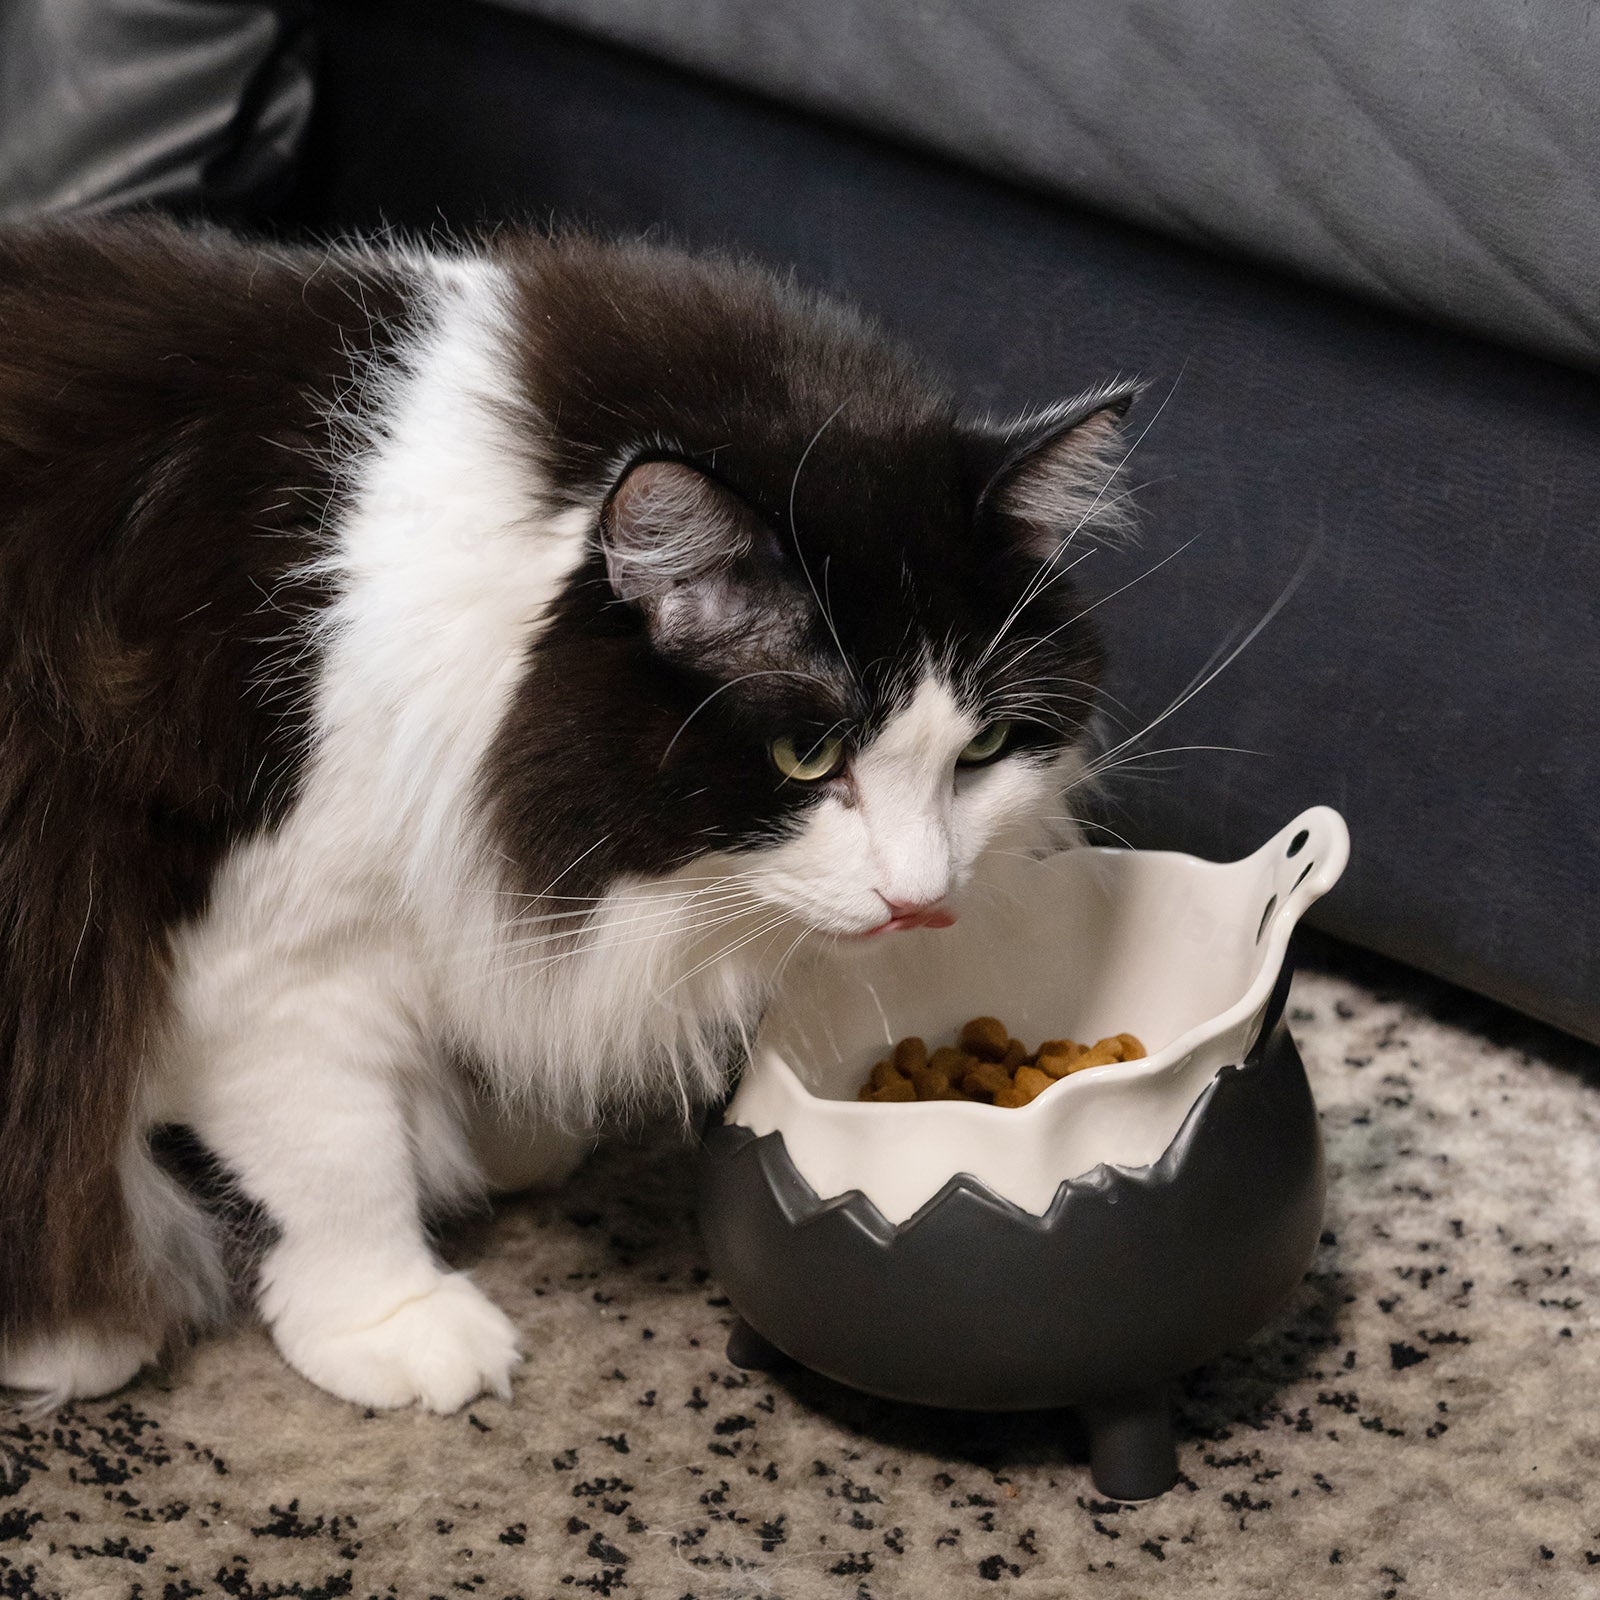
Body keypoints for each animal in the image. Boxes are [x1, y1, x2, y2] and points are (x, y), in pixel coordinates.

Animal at [0, 216, 1132, 1414]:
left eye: (983, 751)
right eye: (807, 755)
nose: (921, 899)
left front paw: (507, 1135)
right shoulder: (265, 949)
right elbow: (340, 1155)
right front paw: (394, 1320)